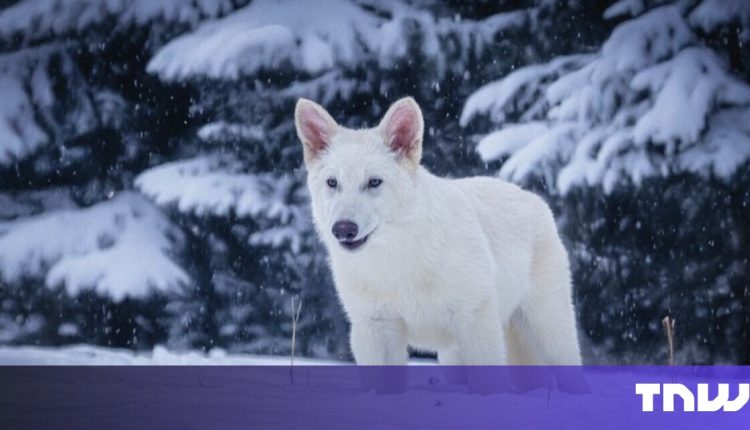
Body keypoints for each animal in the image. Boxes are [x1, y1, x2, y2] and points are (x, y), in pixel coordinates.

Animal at [295, 97, 581, 365]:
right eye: (333, 183)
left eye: (374, 182)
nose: (343, 229)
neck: (397, 264)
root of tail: (533, 197)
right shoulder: (375, 329)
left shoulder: (475, 322)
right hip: (454, 354)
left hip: (550, 333)